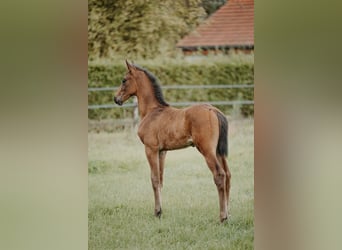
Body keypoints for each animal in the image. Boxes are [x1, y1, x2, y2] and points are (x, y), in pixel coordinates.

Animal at [113, 61, 231, 223]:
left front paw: (157, 212)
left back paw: (222, 217)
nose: (116, 98)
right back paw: (228, 212)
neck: (152, 111)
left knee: (219, 175)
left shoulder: (150, 149)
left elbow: (154, 179)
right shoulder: (162, 151)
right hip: (218, 151)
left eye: (124, 80)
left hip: (207, 150)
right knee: (228, 175)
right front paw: (161, 211)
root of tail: (213, 110)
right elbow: (161, 179)